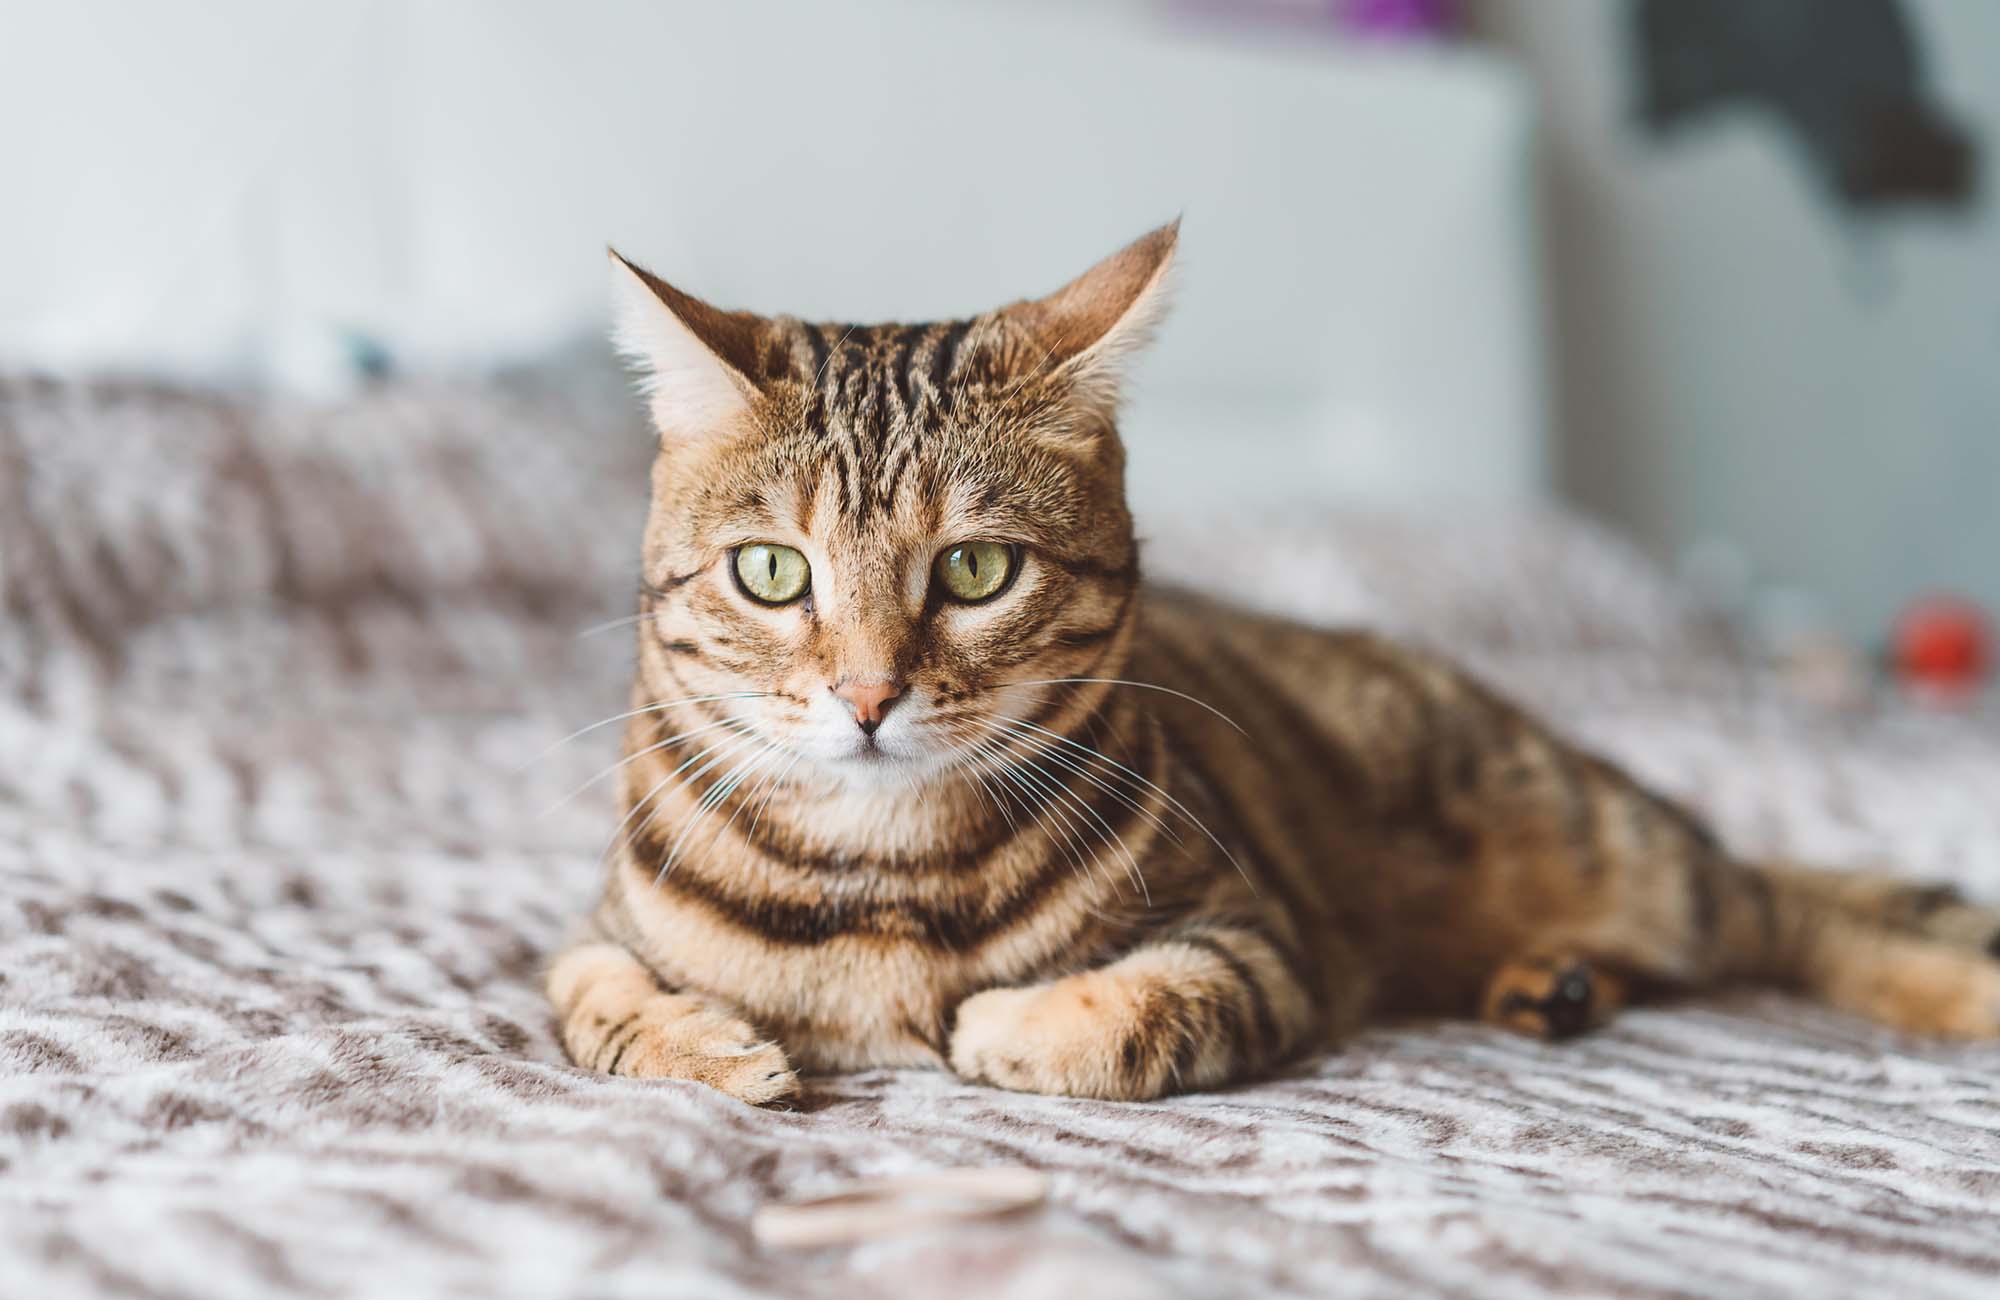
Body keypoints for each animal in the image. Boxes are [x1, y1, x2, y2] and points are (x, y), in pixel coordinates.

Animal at [556, 228, 2000, 1096]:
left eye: (973, 572)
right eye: (771, 572)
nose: (866, 696)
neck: (880, 878)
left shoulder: (1253, 941)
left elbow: (1125, 1014)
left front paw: (998, 1023)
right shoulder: (589, 935)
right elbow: (594, 1000)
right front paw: (720, 1048)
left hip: (1600, 835)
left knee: (1786, 915)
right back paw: (1550, 982)